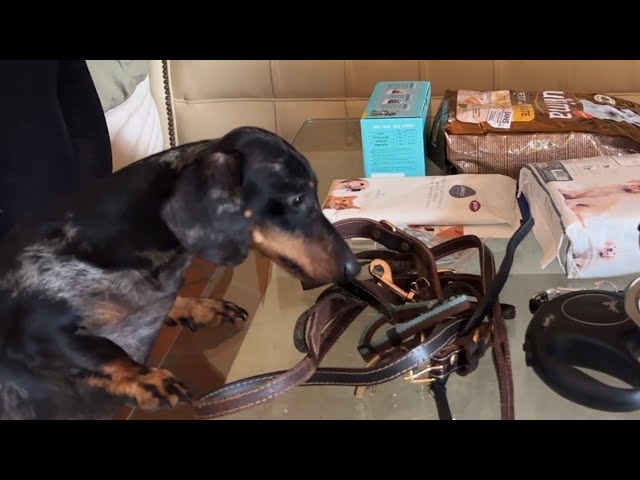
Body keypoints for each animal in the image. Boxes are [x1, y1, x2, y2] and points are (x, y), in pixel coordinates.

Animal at [0, 126, 360, 420]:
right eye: (297, 198)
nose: (354, 268)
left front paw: (198, 307)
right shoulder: (34, 328)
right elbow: (102, 350)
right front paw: (147, 378)